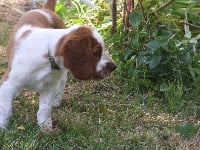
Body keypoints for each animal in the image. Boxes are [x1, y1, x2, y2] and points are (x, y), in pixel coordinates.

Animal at [0, 0, 115, 131]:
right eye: (96, 53)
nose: (114, 67)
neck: (48, 58)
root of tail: (45, 9)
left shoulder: (49, 87)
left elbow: (44, 108)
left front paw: (45, 127)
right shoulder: (8, 84)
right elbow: (5, 109)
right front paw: (2, 127)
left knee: (62, 81)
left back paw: (56, 100)